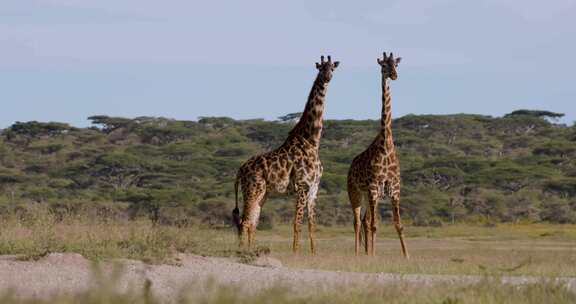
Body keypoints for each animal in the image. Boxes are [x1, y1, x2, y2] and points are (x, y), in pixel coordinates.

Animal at [231, 55, 338, 254]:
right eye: (321, 68)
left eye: (333, 68)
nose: (327, 77)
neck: (312, 141)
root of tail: (240, 170)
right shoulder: (302, 186)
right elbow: (297, 224)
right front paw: (295, 253)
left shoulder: (314, 188)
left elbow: (311, 225)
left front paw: (314, 254)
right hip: (253, 189)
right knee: (245, 221)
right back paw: (243, 250)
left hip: (263, 193)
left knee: (252, 221)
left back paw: (252, 249)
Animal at [346, 51, 410, 256]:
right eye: (383, 65)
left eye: (396, 64)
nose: (394, 75)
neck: (386, 145)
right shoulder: (374, 188)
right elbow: (375, 225)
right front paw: (372, 255)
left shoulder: (395, 189)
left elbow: (398, 225)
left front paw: (407, 256)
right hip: (356, 192)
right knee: (357, 222)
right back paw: (358, 253)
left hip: (368, 196)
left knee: (365, 221)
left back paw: (366, 252)